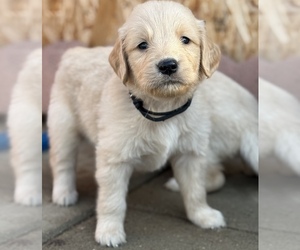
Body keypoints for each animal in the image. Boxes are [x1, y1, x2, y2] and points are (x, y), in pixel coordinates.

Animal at [47, 1, 258, 248]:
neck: (162, 108)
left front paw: (202, 215)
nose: (168, 65)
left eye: (185, 39)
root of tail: (76, 51)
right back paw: (64, 194)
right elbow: (112, 200)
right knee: (63, 163)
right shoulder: (114, 159)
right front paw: (109, 231)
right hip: (63, 126)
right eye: (142, 45)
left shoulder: (190, 153)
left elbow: (195, 190)